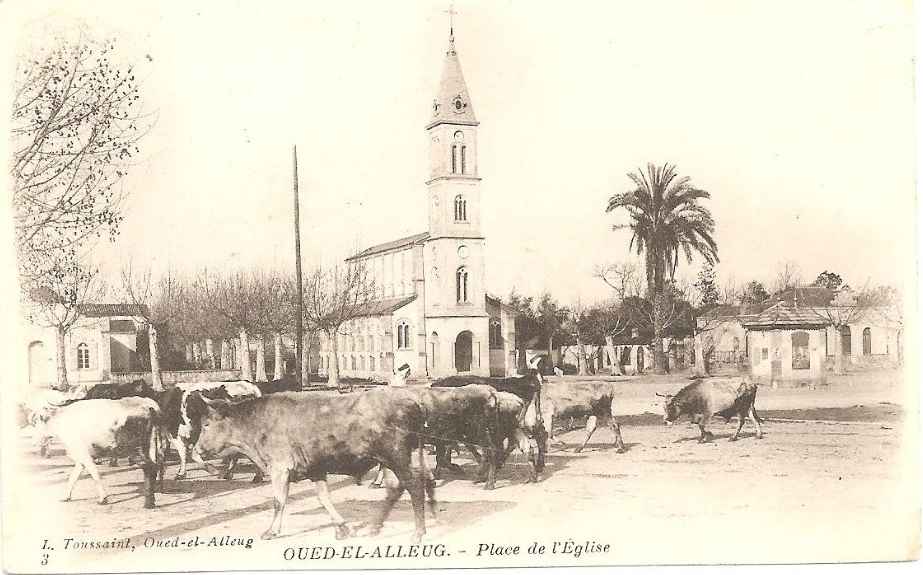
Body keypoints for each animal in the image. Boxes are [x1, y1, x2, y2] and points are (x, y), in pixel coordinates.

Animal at [189, 390, 436, 544]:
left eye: (206, 424)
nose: (197, 449)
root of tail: (411, 401)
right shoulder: (316, 469)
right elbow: (323, 499)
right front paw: (342, 528)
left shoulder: (280, 467)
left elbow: (278, 502)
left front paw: (271, 531)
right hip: (389, 461)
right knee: (397, 489)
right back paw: (375, 527)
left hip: (397, 456)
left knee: (415, 485)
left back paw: (418, 533)